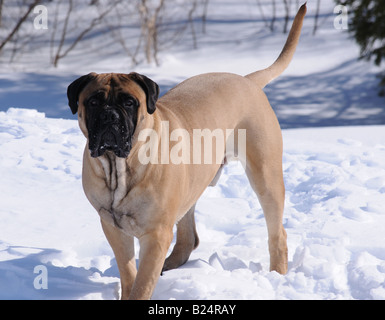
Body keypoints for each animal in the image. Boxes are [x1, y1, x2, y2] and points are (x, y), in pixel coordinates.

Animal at [67, 5, 306, 300]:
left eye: (129, 102)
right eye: (93, 102)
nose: (110, 116)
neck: (120, 168)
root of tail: (247, 80)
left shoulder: (156, 234)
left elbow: (142, 282)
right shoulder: (112, 226)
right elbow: (129, 273)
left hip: (265, 175)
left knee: (277, 233)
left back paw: (277, 275)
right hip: (192, 183)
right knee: (188, 236)